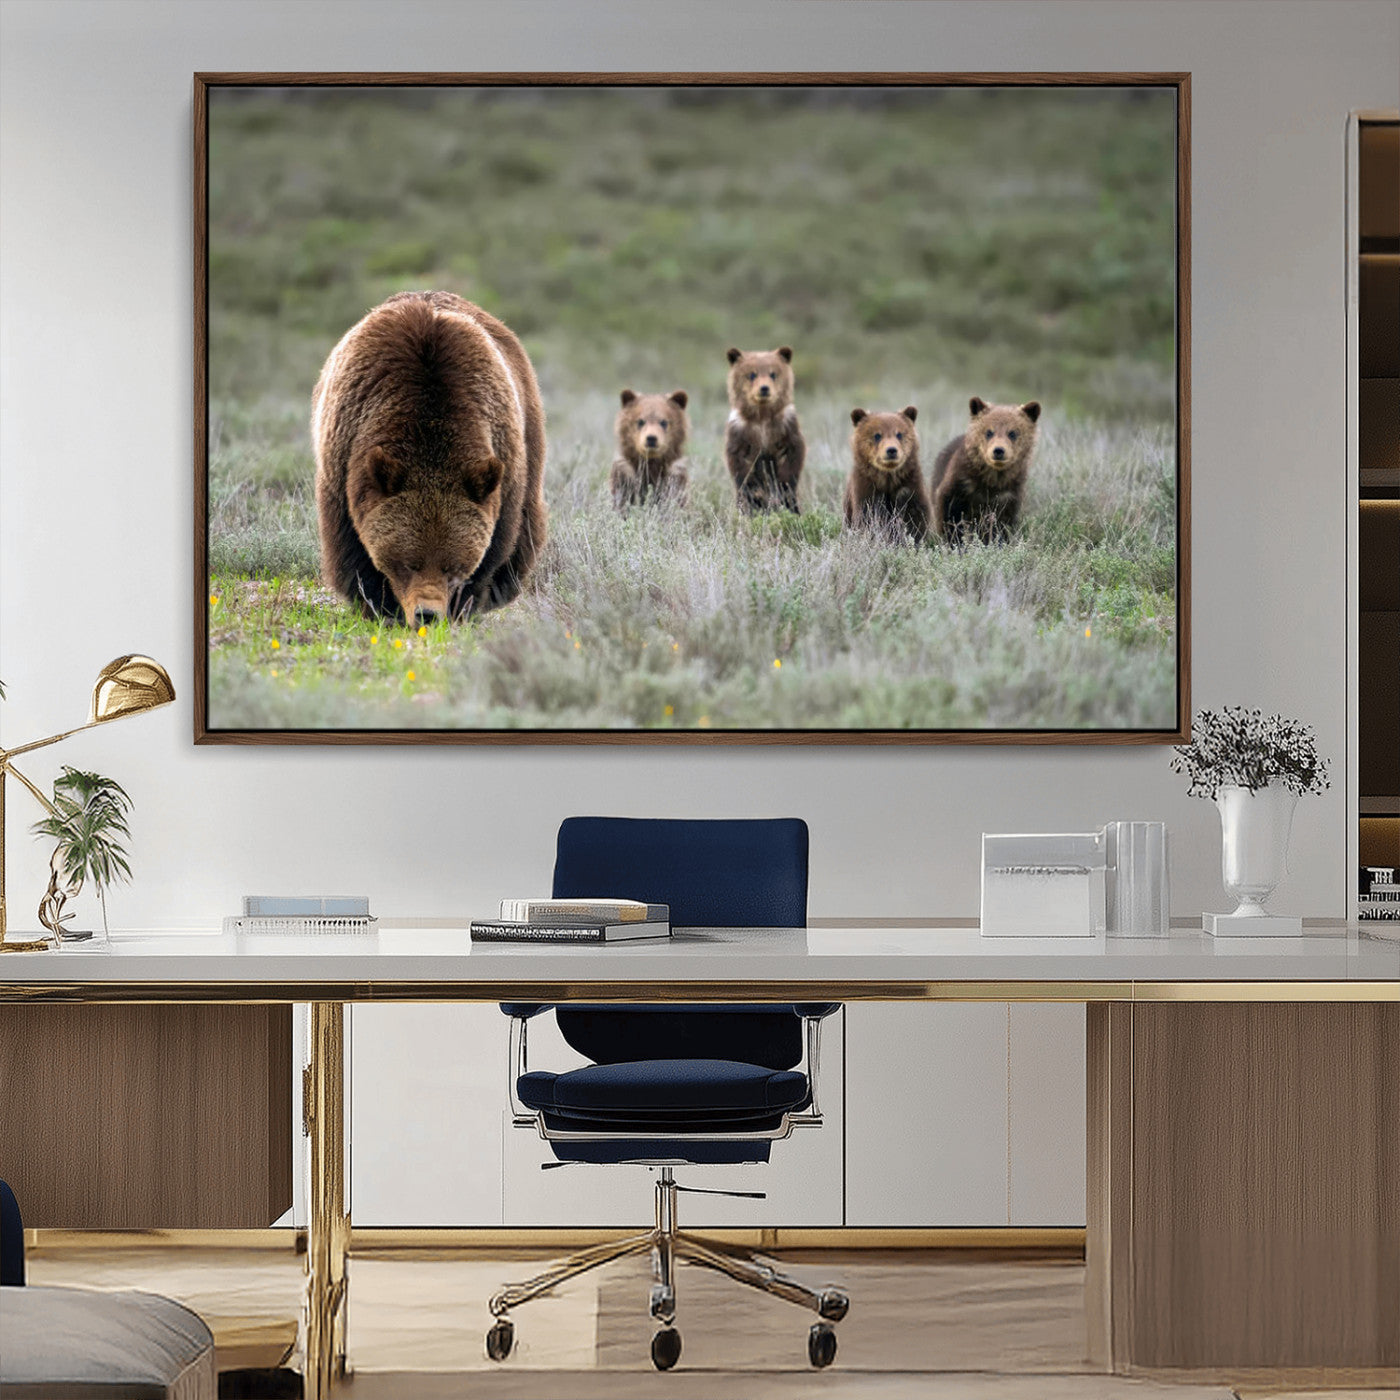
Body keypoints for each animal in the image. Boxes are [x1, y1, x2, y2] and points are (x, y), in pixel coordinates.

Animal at [312, 290, 548, 623]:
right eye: (409, 562)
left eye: (453, 566)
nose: (427, 613)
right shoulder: (344, 458)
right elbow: (350, 547)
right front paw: (378, 605)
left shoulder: (503, 463)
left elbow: (496, 545)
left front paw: (464, 606)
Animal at [724, 345, 805, 513]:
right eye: (752, 374)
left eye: (773, 373)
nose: (764, 388)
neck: (762, 418)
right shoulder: (741, 432)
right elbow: (741, 466)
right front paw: (756, 496)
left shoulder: (786, 427)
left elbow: (792, 458)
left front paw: (783, 490)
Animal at [843, 405, 930, 541]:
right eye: (877, 435)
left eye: (899, 434)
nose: (891, 450)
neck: (887, 478)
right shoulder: (865, 490)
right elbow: (867, 518)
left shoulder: (910, 486)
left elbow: (915, 519)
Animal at [929, 397, 1041, 544]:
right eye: (989, 432)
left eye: (1012, 433)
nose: (998, 450)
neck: (992, 479)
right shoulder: (960, 484)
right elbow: (949, 514)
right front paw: (953, 541)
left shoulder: (1009, 494)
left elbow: (1003, 524)